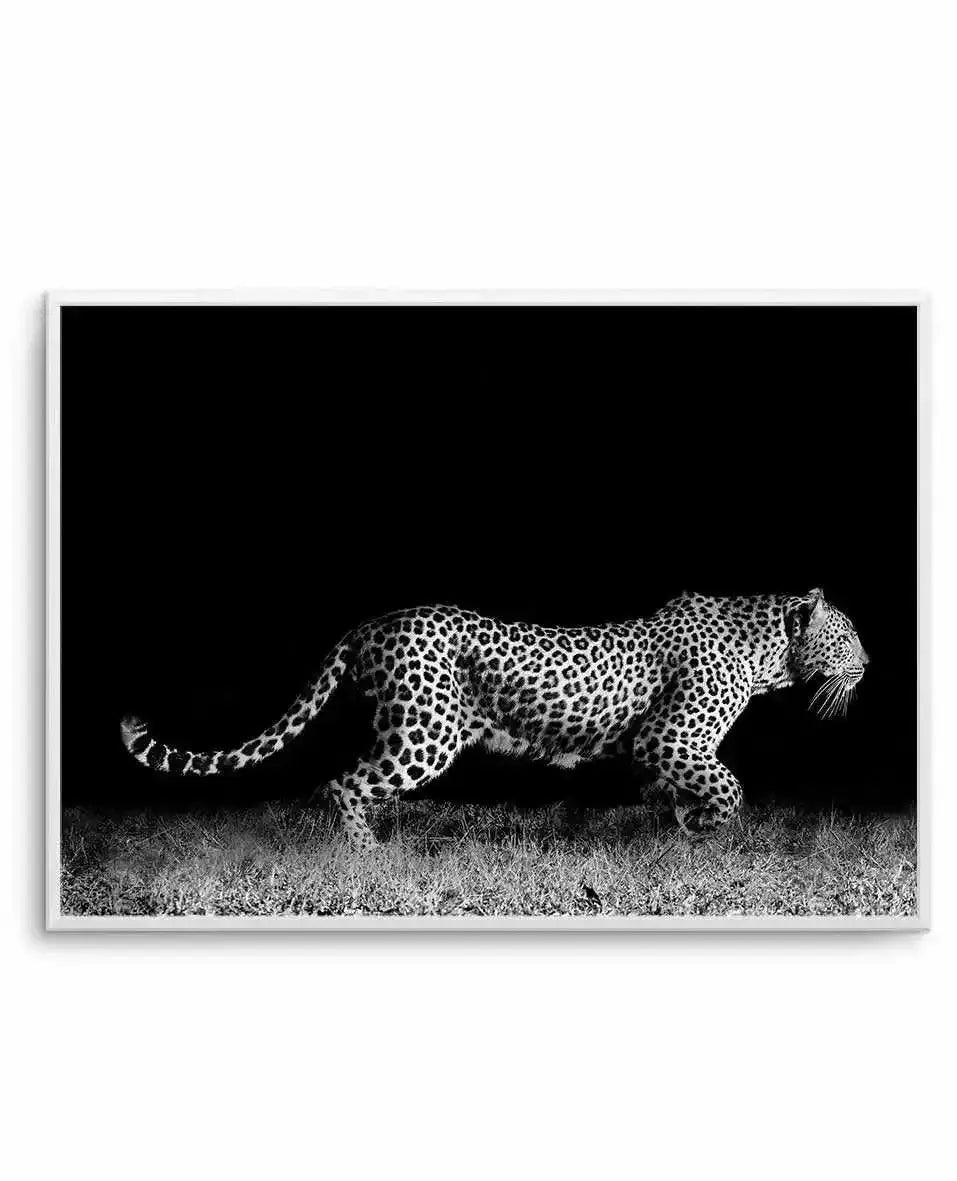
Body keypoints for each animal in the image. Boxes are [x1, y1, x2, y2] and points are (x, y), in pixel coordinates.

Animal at [121, 588, 868, 850]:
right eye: (849, 635)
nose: (870, 661)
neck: (769, 653)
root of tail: (371, 622)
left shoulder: (662, 751)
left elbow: (677, 791)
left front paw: (679, 826)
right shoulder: (669, 738)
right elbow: (729, 786)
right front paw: (705, 827)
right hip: (424, 732)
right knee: (341, 783)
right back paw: (367, 855)